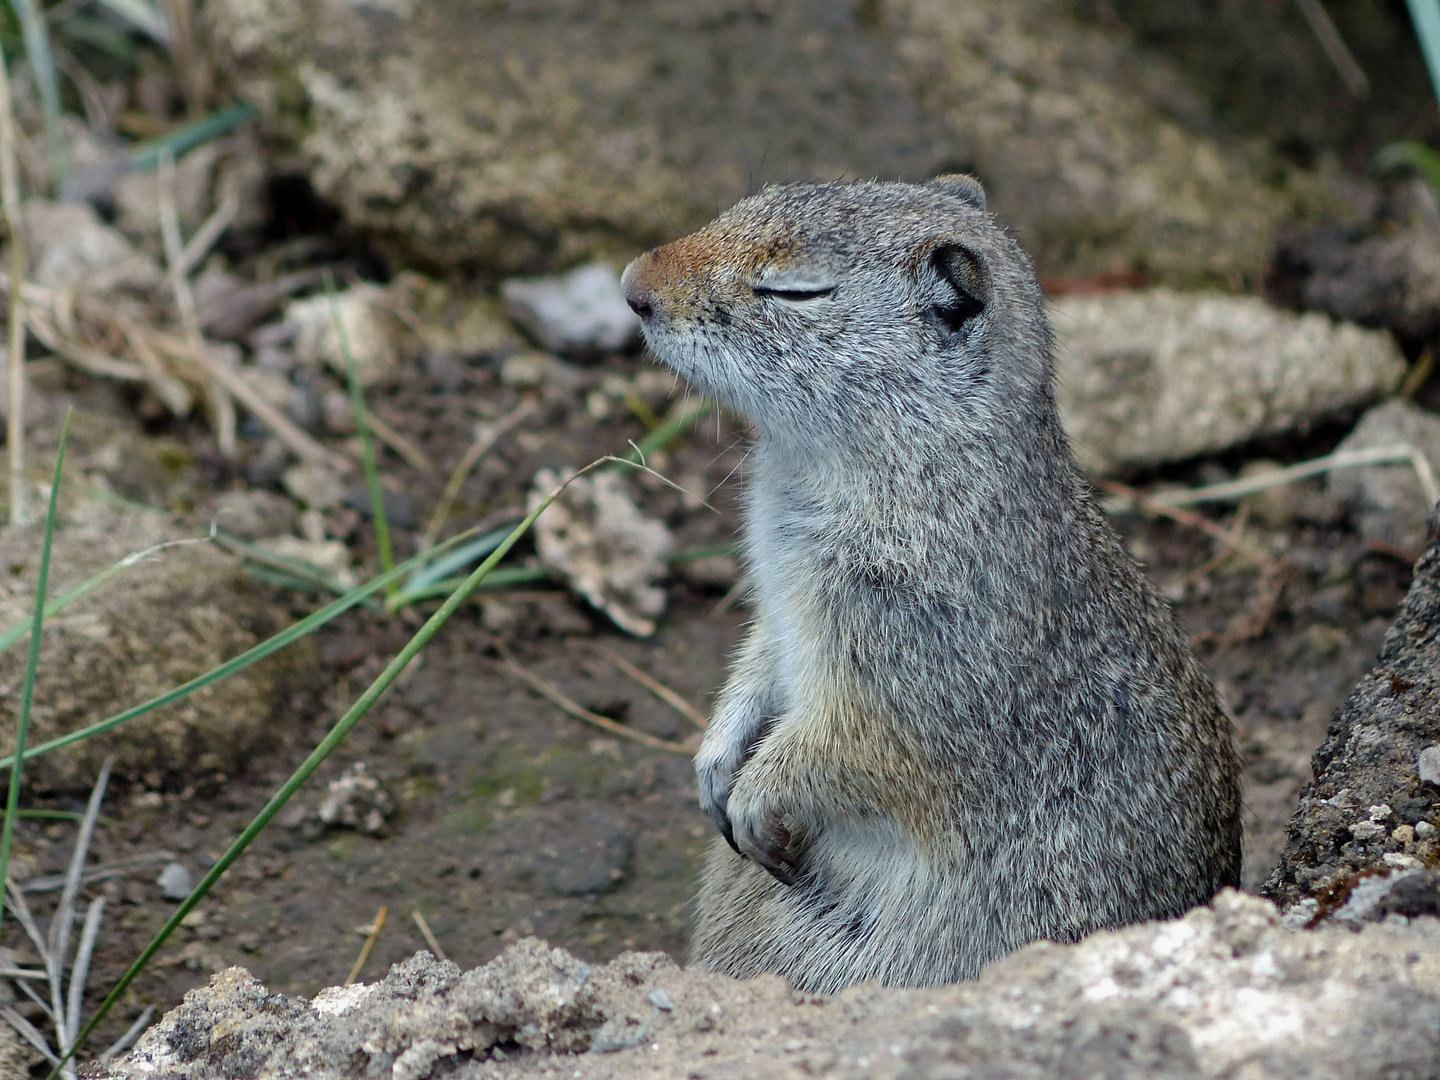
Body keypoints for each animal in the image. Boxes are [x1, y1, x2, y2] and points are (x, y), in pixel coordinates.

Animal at [619, 175, 1238, 990]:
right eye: (751, 201)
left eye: (795, 290)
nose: (632, 286)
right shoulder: (779, 615)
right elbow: (755, 668)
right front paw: (715, 761)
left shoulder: (915, 650)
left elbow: (858, 745)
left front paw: (755, 793)